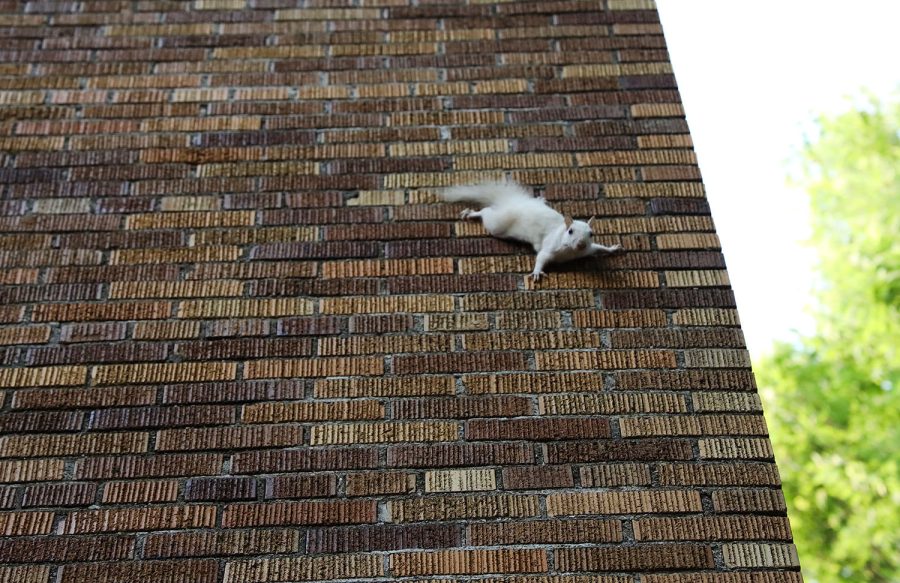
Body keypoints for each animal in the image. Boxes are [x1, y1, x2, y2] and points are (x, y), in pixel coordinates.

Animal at [440, 181, 624, 284]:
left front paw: (612, 248)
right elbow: (541, 257)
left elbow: (599, 248)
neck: (571, 252)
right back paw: (471, 213)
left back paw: (540, 199)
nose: (580, 244)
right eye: (570, 231)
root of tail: (515, 203)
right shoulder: (550, 248)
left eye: (591, 234)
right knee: (486, 212)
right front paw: (536, 272)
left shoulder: (588, 249)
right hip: (497, 225)